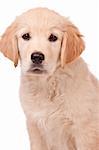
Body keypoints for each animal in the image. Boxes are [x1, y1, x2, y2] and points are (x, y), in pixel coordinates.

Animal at [0, 7, 99, 150]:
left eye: (53, 37)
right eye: (26, 36)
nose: (37, 57)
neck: (48, 84)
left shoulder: (85, 131)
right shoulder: (35, 127)